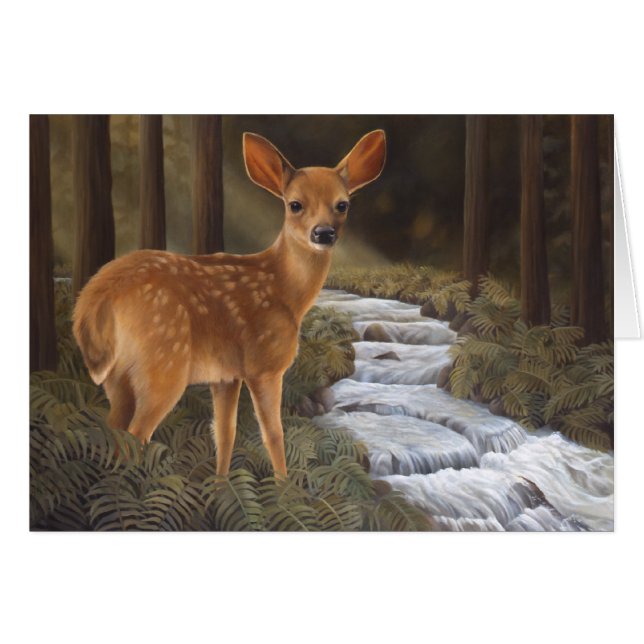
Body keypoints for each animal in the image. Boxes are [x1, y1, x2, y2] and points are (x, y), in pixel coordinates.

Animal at [73, 129, 386, 478]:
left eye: (342, 204)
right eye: (295, 204)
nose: (324, 233)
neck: (285, 292)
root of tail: (95, 297)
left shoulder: (226, 375)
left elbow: (225, 433)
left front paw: (220, 483)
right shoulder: (264, 364)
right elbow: (273, 433)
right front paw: (283, 484)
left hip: (119, 376)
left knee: (113, 431)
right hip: (163, 360)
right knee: (136, 434)